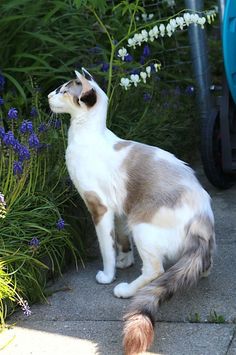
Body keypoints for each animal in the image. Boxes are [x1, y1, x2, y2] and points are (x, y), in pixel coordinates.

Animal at [48, 69, 216, 355]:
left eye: (62, 90)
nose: (48, 96)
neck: (84, 135)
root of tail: (202, 220)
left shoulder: (99, 207)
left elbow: (106, 247)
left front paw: (108, 275)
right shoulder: (119, 210)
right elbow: (120, 240)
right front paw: (124, 261)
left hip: (141, 225)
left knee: (156, 271)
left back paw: (125, 290)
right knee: (203, 265)